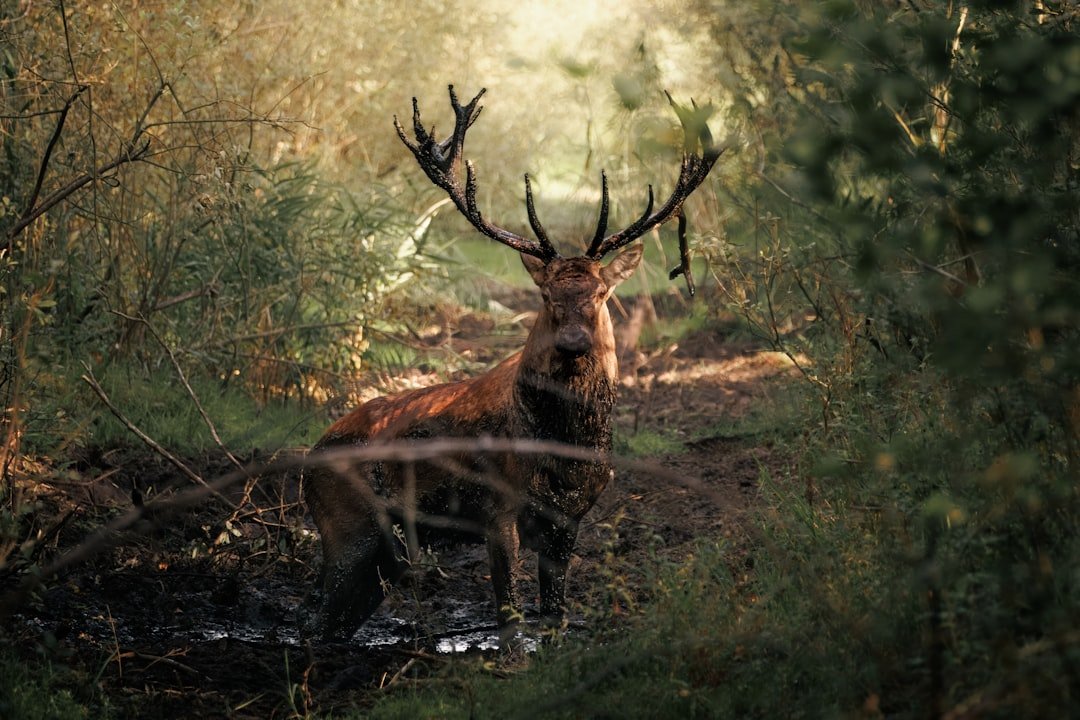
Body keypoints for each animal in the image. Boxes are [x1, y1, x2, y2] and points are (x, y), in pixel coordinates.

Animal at [302, 86, 721, 647]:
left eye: (602, 292)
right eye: (546, 294)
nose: (573, 341)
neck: (563, 456)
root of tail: (308, 461)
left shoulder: (570, 518)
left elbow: (554, 615)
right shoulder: (495, 509)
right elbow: (510, 619)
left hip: (379, 551)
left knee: (334, 620)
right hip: (346, 525)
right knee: (315, 619)